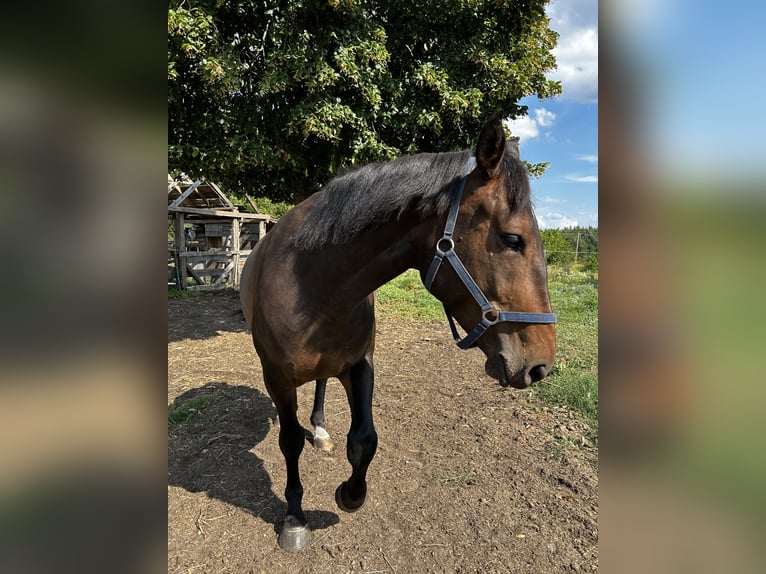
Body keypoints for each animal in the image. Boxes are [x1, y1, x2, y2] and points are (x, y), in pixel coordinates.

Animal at [240, 112, 560, 552]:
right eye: (513, 239)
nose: (541, 366)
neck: (312, 283)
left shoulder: (360, 365)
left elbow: (364, 439)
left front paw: (349, 495)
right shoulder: (277, 377)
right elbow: (289, 442)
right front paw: (294, 518)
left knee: (321, 386)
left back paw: (320, 429)